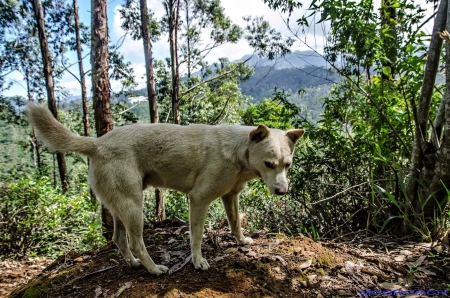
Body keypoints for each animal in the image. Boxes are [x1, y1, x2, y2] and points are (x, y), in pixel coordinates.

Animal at [26, 102, 304, 274]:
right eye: (269, 164)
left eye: (287, 165)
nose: (282, 192)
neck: (240, 151)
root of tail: (97, 143)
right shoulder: (199, 199)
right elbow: (197, 236)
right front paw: (198, 261)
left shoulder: (230, 196)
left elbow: (235, 223)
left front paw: (242, 241)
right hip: (133, 206)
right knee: (136, 242)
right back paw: (154, 269)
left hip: (118, 207)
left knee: (118, 239)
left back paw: (134, 264)